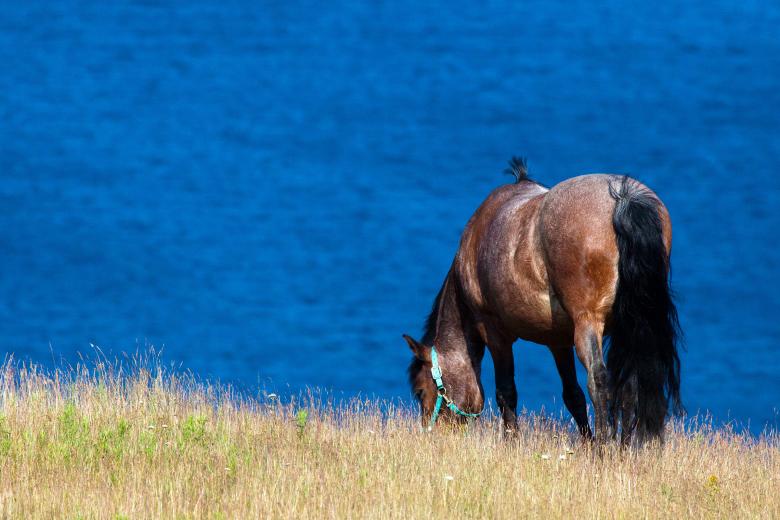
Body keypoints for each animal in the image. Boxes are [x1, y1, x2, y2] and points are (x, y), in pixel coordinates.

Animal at [403, 158, 682, 445]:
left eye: (421, 391)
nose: (432, 437)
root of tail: (623, 197)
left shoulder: (495, 333)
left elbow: (506, 392)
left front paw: (512, 442)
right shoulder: (558, 341)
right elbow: (572, 395)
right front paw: (586, 442)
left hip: (588, 323)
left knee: (599, 379)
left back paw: (604, 446)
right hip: (629, 326)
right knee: (629, 383)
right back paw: (624, 446)